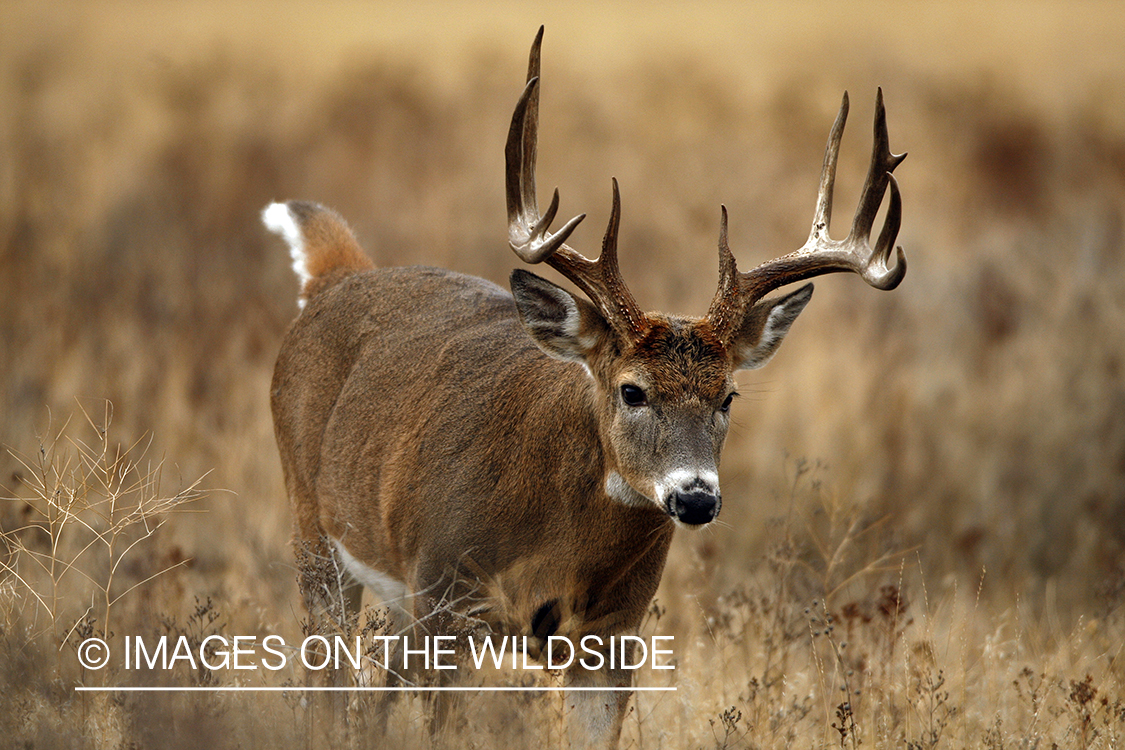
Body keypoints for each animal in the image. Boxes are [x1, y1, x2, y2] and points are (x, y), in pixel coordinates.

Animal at [261, 26, 904, 746]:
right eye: (632, 390)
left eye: (727, 397)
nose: (695, 498)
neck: (554, 534)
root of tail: (336, 278)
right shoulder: (445, 593)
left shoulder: (614, 630)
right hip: (313, 525)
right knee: (325, 679)